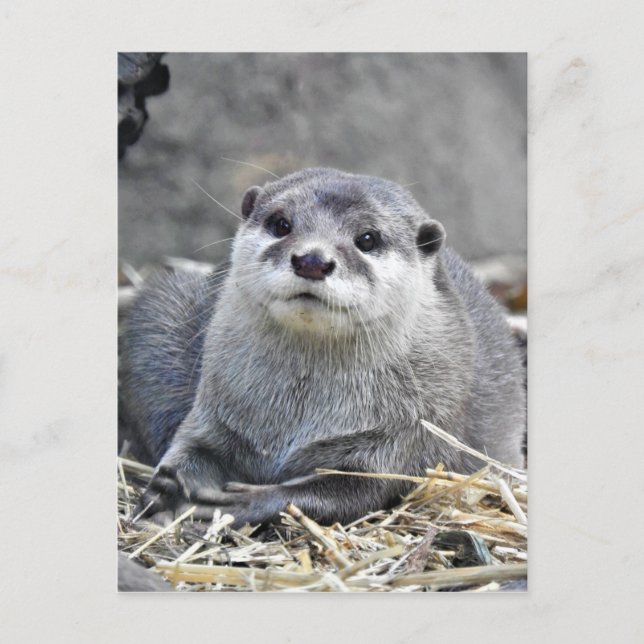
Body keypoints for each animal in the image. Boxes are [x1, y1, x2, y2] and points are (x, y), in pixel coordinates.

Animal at [120, 167, 526, 527]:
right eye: (281, 224)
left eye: (367, 239)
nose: (312, 260)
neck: (297, 416)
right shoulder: (214, 413)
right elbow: (191, 447)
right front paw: (170, 490)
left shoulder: (403, 437)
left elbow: (346, 493)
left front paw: (242, 503)